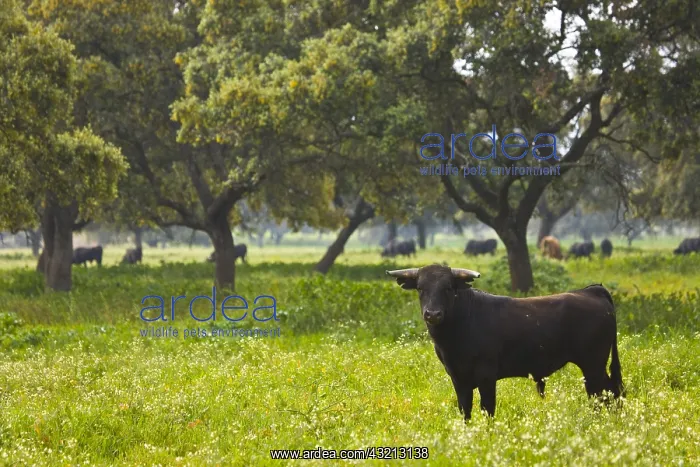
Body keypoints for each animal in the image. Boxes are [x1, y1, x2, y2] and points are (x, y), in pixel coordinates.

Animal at [386, 264, 624, 420]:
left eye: (448, 288)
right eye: (420, 288)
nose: (433, 314)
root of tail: (592, 291)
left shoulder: (486, 375)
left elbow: (487, 408)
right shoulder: (458, 378)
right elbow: (466, 410)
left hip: (593, 365)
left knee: (604, 393)